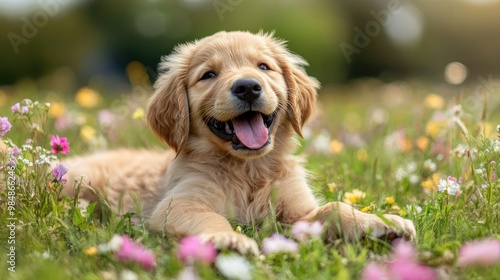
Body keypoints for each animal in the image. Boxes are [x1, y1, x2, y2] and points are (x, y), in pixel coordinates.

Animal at [61, 31, 414, 255]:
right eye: (208, 75)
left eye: (263, 66)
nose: (247, 87)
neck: (248, 170)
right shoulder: (179, 204)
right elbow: (210, 218)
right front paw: (228, 239)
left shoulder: (296, 212)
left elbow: (334, 207)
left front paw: (380, 222)